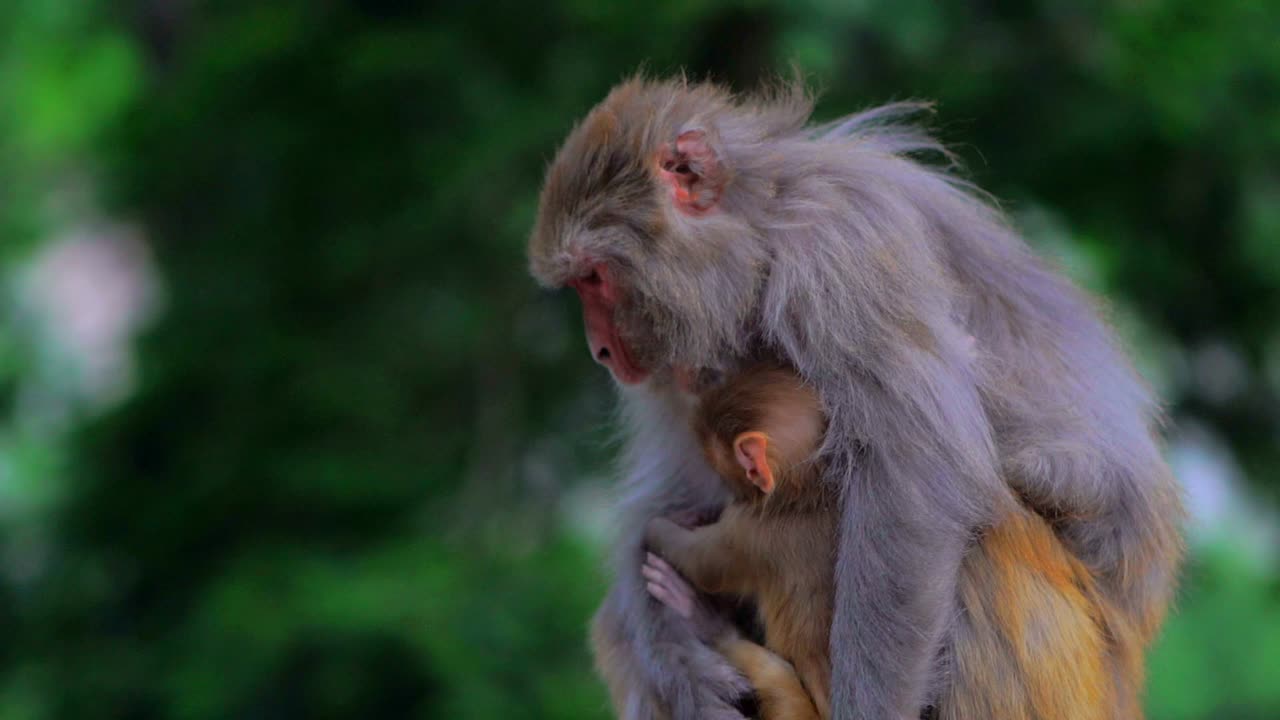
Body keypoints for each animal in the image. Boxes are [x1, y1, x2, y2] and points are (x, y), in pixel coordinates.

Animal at [643, 363, 835, 720]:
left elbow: (702, 564)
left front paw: (657, 527)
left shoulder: (748, 532)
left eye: (721, 472)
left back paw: (706, 621)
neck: (807, 494)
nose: (729, 496)